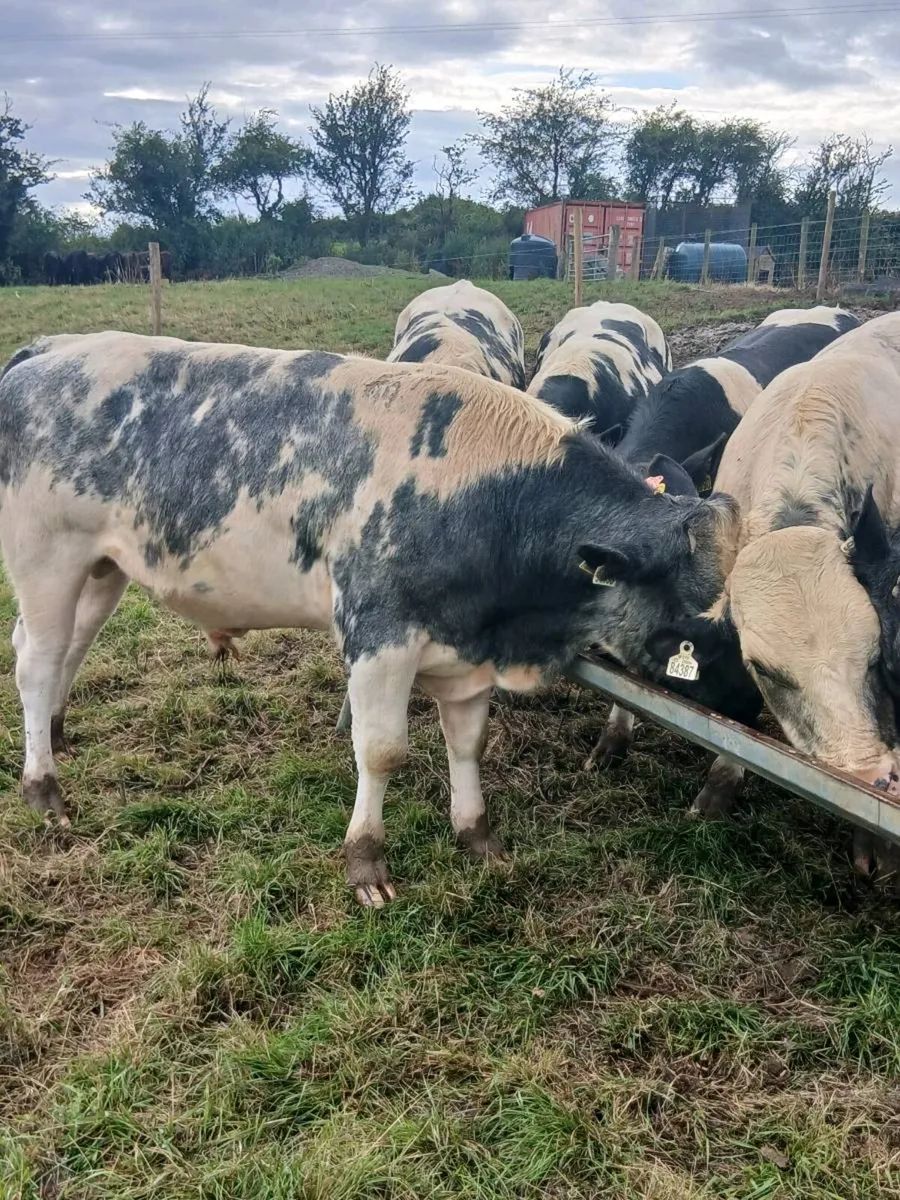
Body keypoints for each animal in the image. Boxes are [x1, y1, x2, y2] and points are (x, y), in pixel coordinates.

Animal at [0, 331, 747, 905]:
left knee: (71, 648)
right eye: (694, 626)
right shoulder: (379, 636)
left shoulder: (467, 652)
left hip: (101, 567)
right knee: (35, 661)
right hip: (45, 558)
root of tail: (49, 350)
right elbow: (382, 750)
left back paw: (57, 737)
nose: (751, 704)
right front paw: (366, 861)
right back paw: (43, 786)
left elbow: (467, 743)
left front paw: (478, 835)